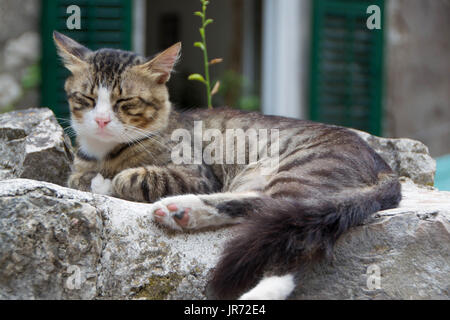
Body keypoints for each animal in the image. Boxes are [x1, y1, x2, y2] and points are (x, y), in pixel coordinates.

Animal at [52, 31, 400, 298]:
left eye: (125, 103)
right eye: (86, 99)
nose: (101, 120)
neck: (105, 153)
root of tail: (385, 167)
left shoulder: (196, 175)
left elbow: (129, 178)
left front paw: (107, 180)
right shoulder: (80, 169)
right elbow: (78, 178)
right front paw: (94, 178)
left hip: (300, 172)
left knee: (287, 223)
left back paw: (263, 287)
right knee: (259, 210)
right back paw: (183, 212)